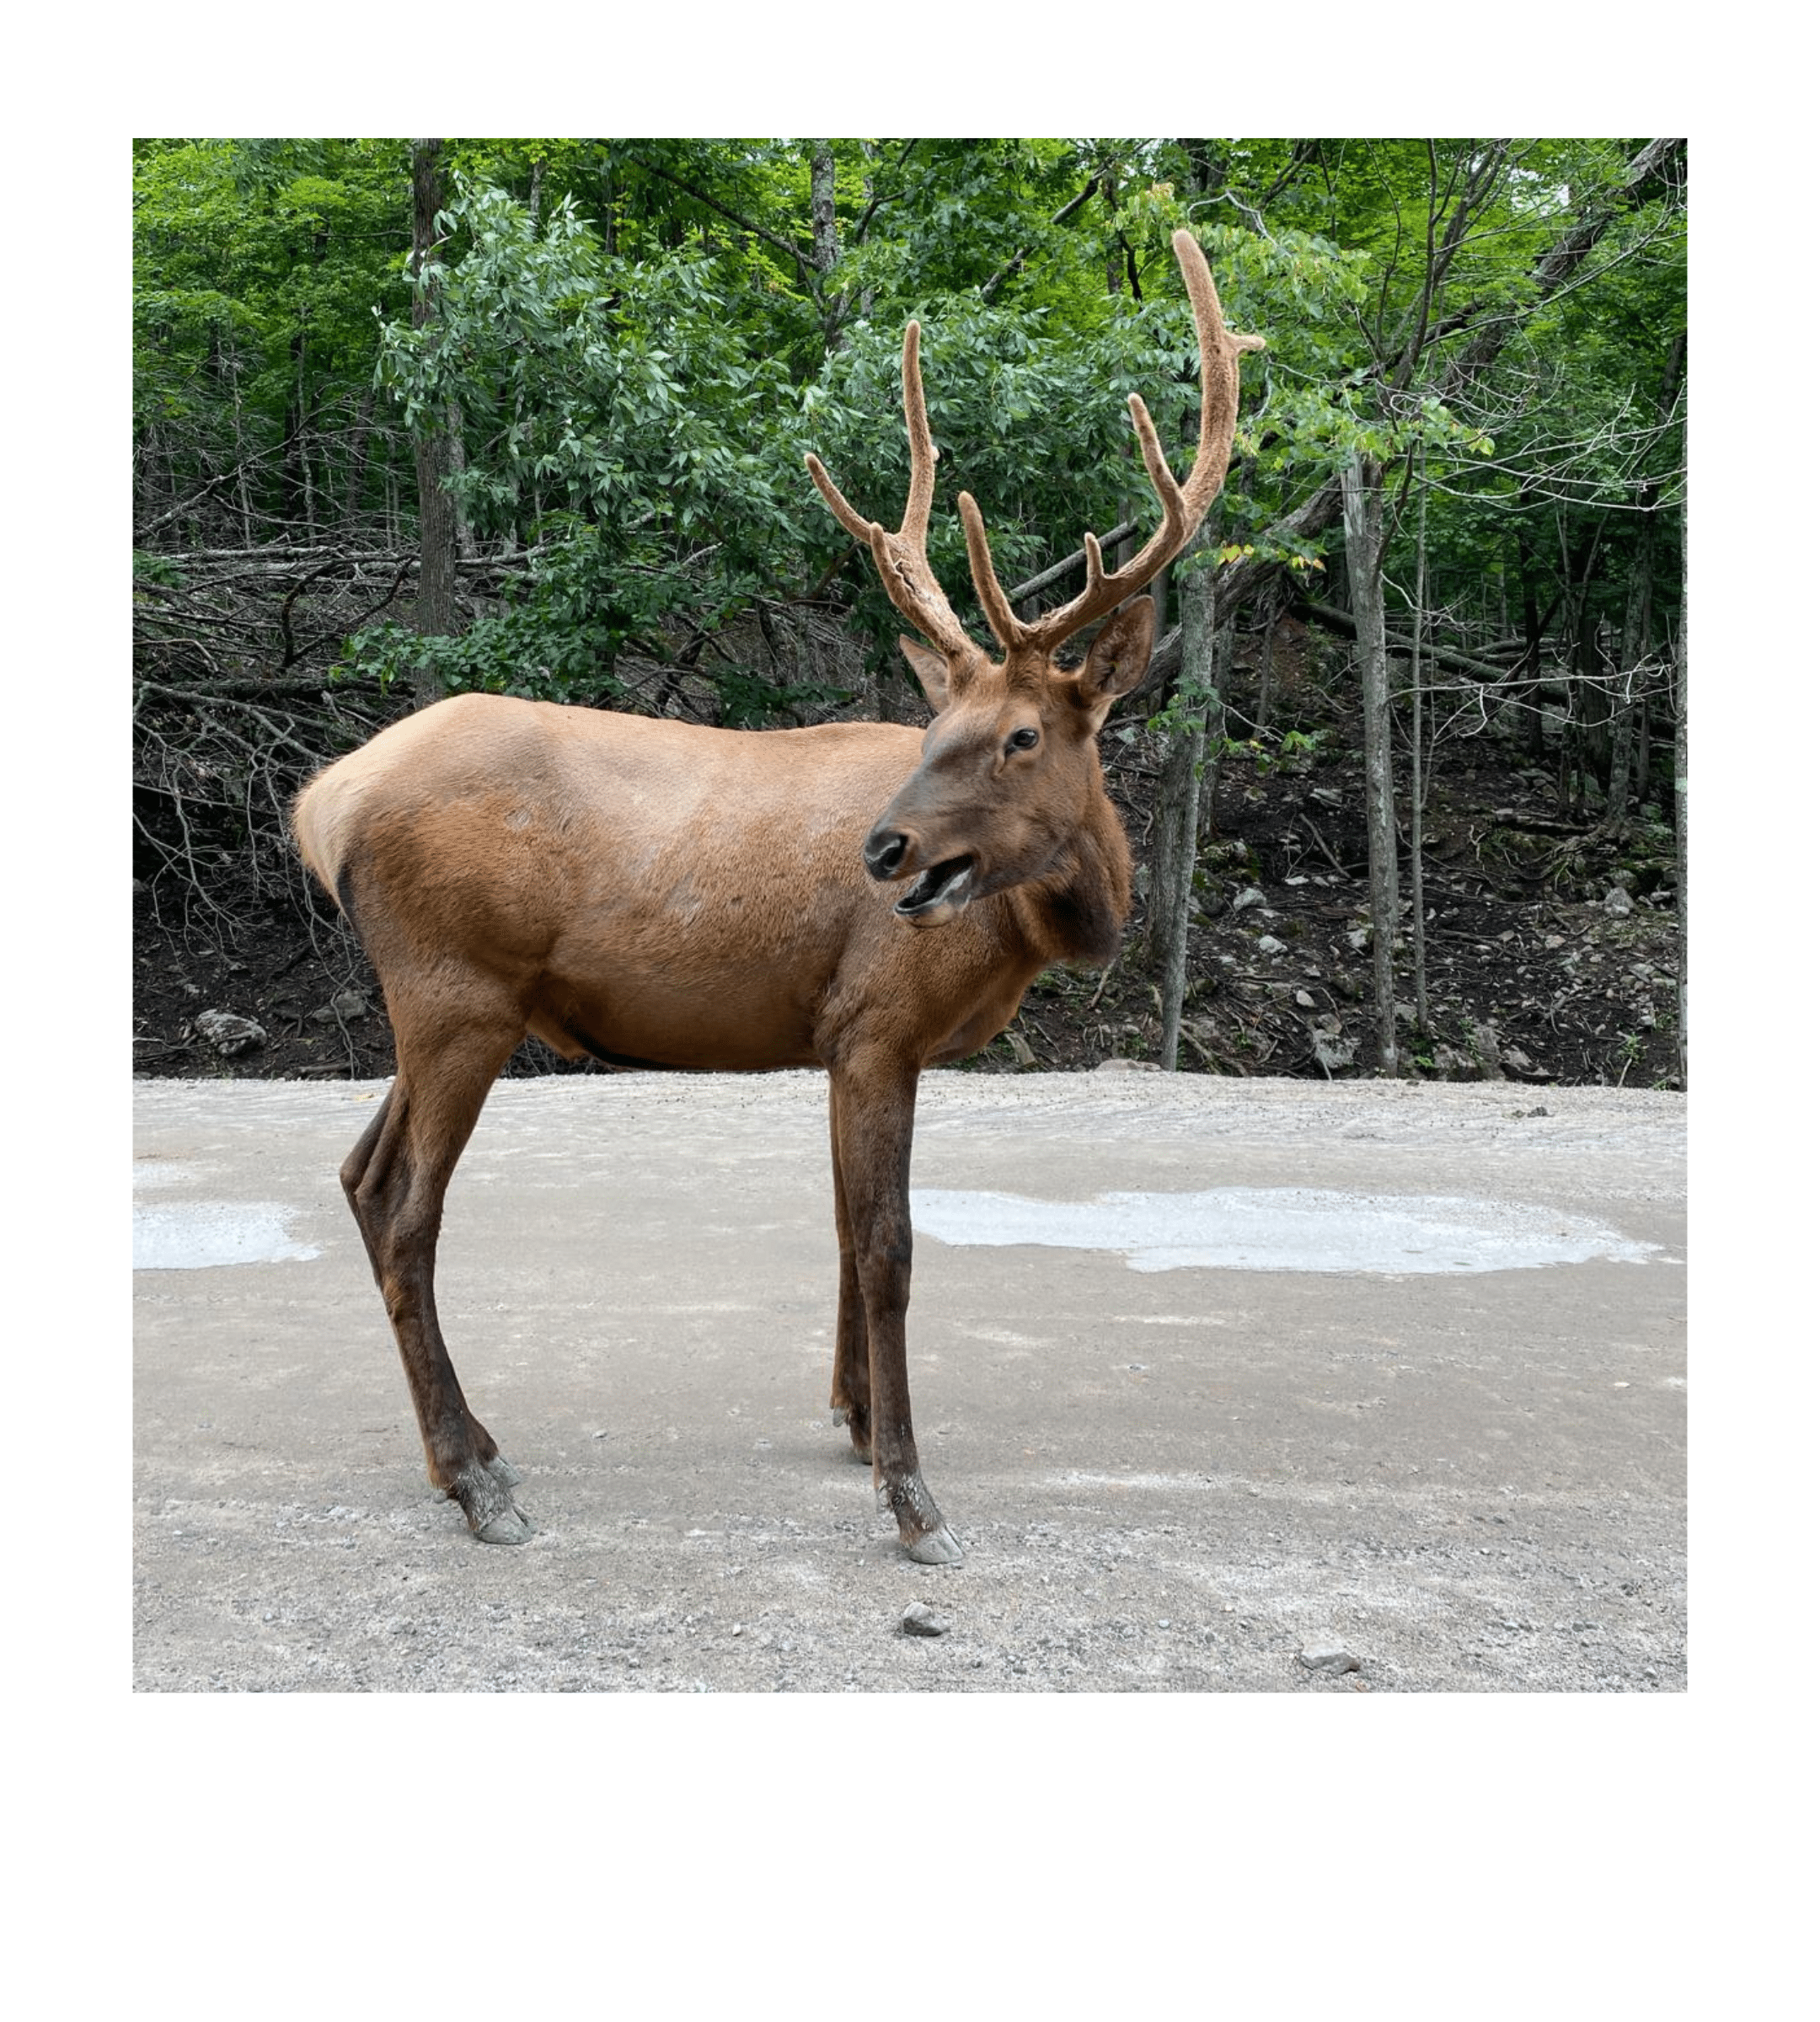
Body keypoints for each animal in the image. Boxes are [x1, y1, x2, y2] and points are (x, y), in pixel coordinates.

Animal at [290, 229, 1261, 1565]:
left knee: (350, 1172)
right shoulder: (880, 1022)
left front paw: (851, 1418)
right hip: (457, 993)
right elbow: (889, 1246)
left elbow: (846, 1230)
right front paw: (910, 1493)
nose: (886, 849)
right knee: (400, 1205)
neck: (1026, 934)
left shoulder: (839, 1038)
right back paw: (480, 1478)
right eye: (939, 731)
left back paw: (463, 1456)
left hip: (437, 1002)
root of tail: (323, 803)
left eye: (1017, 736)